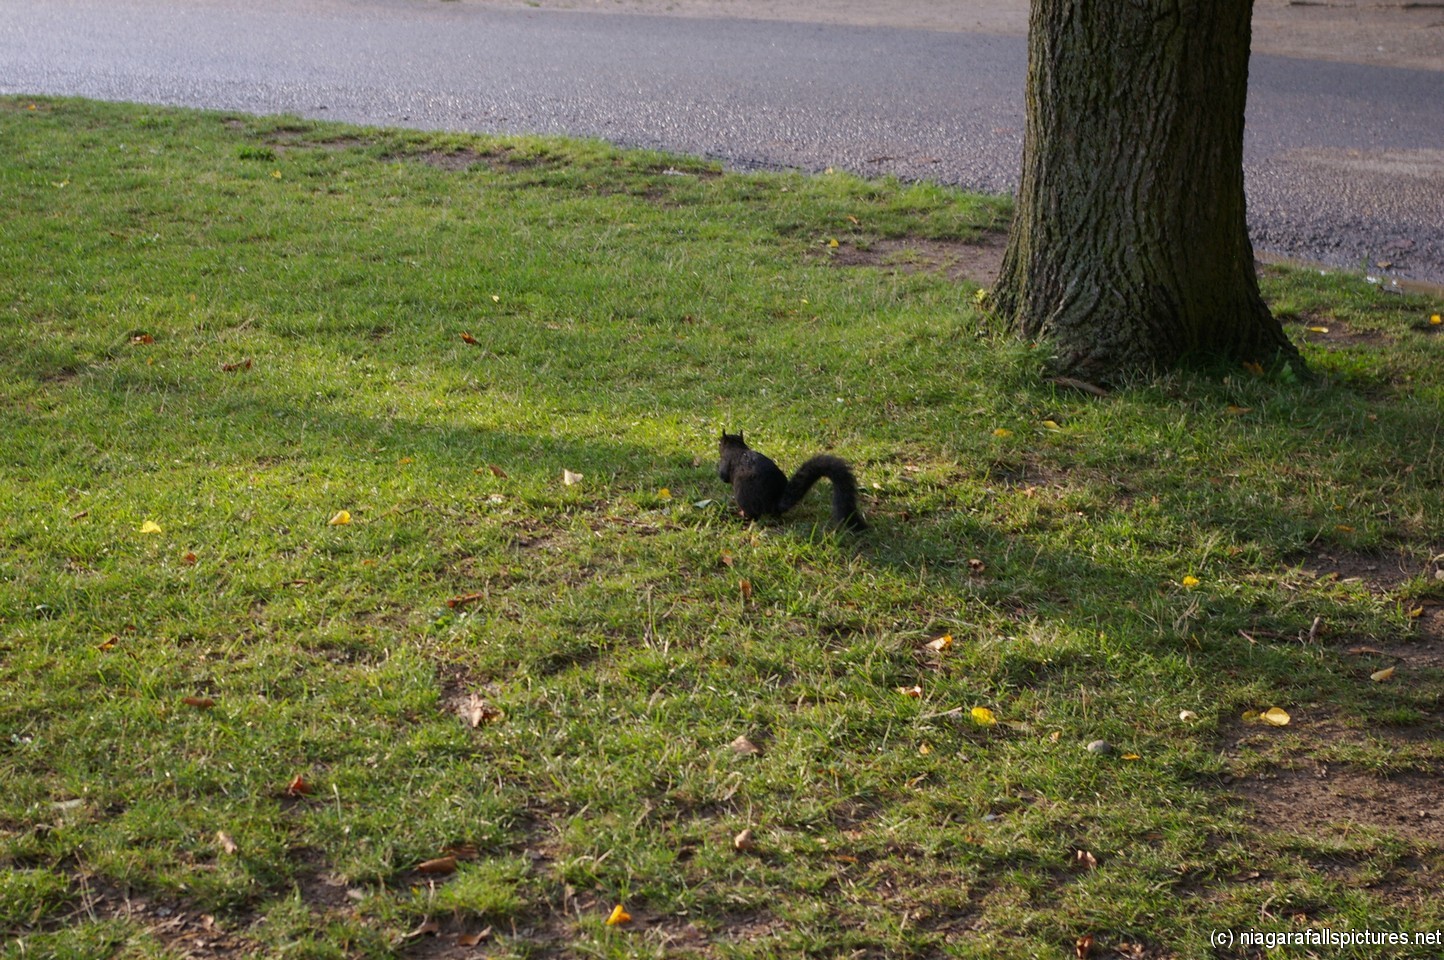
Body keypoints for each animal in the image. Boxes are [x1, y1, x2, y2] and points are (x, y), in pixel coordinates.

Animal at [717, 431, 866, 531]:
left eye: (720, 443)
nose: (718, 443)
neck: (738, 448)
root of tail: (774, 505)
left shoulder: (726, 463)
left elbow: (724, 475)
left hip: (744, 496)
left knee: (753, 516)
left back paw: (739, 515)